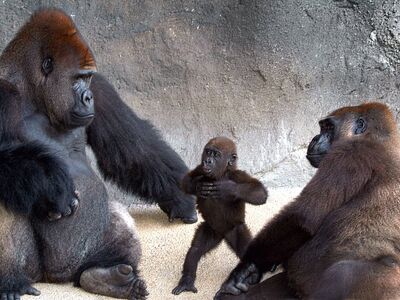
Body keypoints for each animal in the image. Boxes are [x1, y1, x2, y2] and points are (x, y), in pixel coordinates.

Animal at [0, 8, 195, 298]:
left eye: (88, 78)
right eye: (77, 78)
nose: (87, 97)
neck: (34, 94)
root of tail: (53, 278)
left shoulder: (101, 88)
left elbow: (132, 149)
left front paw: (181, 197)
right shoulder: (1, 94)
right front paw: (51, 184)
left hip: (81, 257)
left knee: (114, 218)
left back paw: (104, 274)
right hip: (34, 269)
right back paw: (11, 280)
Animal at [173, 137, 268, 296]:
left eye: (216, 155)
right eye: (208, 152)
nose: (208, 161)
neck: (221, 174)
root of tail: (223, 236)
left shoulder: (237, 175)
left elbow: (259, 192)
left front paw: (228, 189)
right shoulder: (200, 169)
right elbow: (185, 181)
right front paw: (199, 185)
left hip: (235, 229)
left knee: (247, 253)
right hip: (212, 229)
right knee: (195, 250)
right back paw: (187, 280)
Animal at [216, 102, 400, 298]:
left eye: (328, 128)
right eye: (322, 127)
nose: (314, 139)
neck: (381, 138)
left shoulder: (351, 153)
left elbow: (301, 218)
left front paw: (245, 268)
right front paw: (252, 271)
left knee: (346, 271)